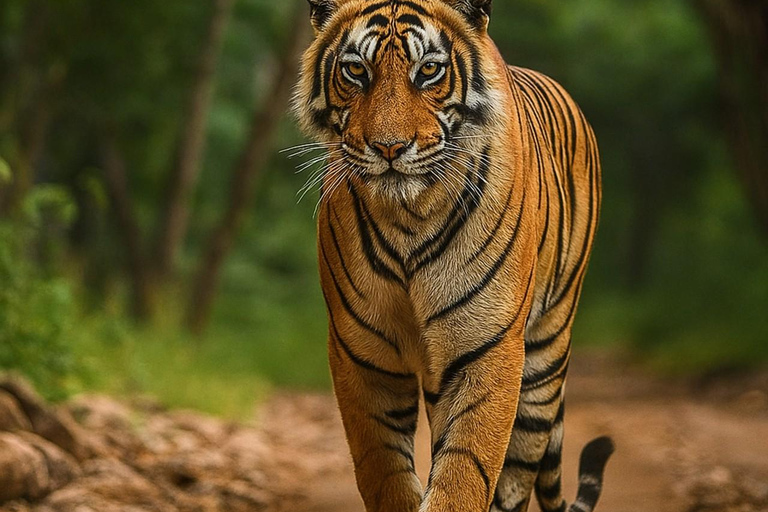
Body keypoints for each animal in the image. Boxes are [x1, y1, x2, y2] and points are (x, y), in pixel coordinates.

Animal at [292, 1, 614, 511]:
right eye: (356, 70)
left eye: (429, 70)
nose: (389, 148)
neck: (408, 214)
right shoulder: (363, 357)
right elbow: (384, 472)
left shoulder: (485, 347)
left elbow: (465, 471)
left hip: (545, 356)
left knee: (517, 473)